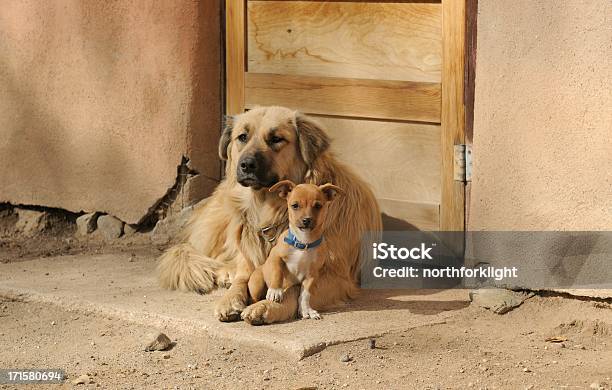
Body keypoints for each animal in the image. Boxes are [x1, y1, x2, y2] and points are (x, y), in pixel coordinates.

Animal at [249, 180, 344, 320]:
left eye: (318, 206)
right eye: (295, 205)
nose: (306, 220)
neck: (303, 242)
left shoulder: (312, 275)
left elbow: (305, 294)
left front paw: (306, 310)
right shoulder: (275, 257)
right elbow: (277, 272)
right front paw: (275, 291)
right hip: (256, 285)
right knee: (254, 298)